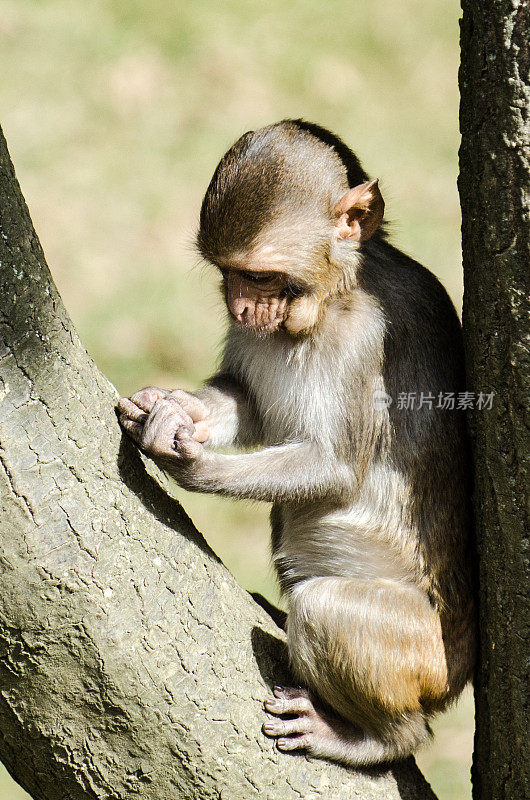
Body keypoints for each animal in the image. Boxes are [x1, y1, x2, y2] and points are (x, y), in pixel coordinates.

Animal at [118, 120, 474, 768]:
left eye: (260, 275)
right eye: (227, 272)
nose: (239, 307)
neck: (330, 299)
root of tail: (457, 673)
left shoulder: (367, 338)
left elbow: (335, 469)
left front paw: (195, 466)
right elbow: (249, 403)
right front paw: (178, 408)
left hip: (420, 652)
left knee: (326, 610)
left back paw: (377, 739)